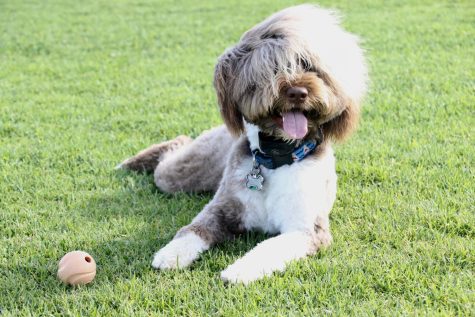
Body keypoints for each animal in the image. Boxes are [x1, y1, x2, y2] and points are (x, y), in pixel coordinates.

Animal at [118, 3, 368, 282]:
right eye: (272, 70)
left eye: (310, 67)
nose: (298, 92)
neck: (276, 158)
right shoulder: (223, 207)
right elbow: (193, 228)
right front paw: (171, 254)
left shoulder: (307, 229)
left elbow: (269, 247)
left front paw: (238, 271)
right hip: (179, 175)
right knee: (176, 147)